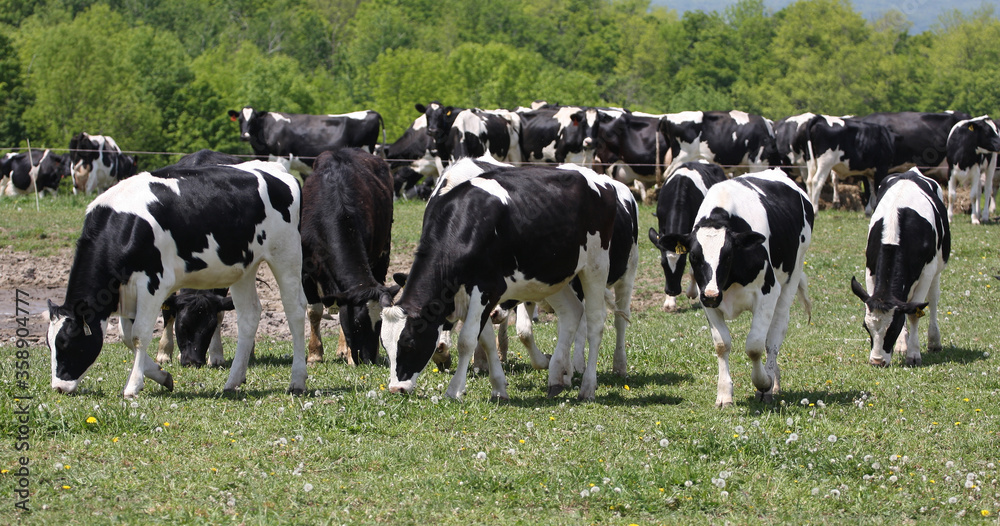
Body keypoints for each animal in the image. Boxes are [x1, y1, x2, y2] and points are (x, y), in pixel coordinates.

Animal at [47, 160, 307, 398]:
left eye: (66, 343)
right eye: (50, 345)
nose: (58, 387)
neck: (125, 225)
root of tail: (274, 168)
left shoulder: (152, 284)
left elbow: (139, 335)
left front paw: (133, 386)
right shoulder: (123, 292)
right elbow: (126, 337)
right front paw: (162, 376)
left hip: (286, 254)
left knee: (295, 310)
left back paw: (297, 380)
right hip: (244, 267)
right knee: (249, 316)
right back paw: (233, 381)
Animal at [300, 148, 394, 365]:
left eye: (381, 323)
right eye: (358, 323)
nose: (369, 359)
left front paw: (348, 354)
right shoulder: (305, 269)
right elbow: (314, 310)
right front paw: (314, 354)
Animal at [380, 164, 620, 401]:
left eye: (409, 343)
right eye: (385, 346)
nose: (396, 389)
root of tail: (601, 180)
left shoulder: (487, 288)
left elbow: (467, 339)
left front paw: (454, 390)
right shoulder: (475, 296)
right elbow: (485, 338)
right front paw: (498, 387)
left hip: (596, 265)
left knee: (595, 322)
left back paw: (587, 387)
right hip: (553, 276)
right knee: (571, 312)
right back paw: (556, 377)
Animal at [655, 170, 813, 407]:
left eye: (728, 255)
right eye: (694, 256)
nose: (712, 295)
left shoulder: (767, 293)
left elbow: (755, 346)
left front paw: (763, 384)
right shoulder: (706, 299)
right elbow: (722, 344)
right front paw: (724, 394)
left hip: (791, 279)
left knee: (774, 336)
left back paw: (771, 383)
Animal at [850, 169, 950, 367]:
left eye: (892, 328)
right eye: (866, 327)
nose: (877, 361)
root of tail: (911, 171)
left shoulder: (926, 273)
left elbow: (914, 314)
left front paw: (913, 354)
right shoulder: (870, 269)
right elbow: (904, 309)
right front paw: (904, 346)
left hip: (937, 268)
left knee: (933, 299)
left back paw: (934, 341)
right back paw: (903, 344)